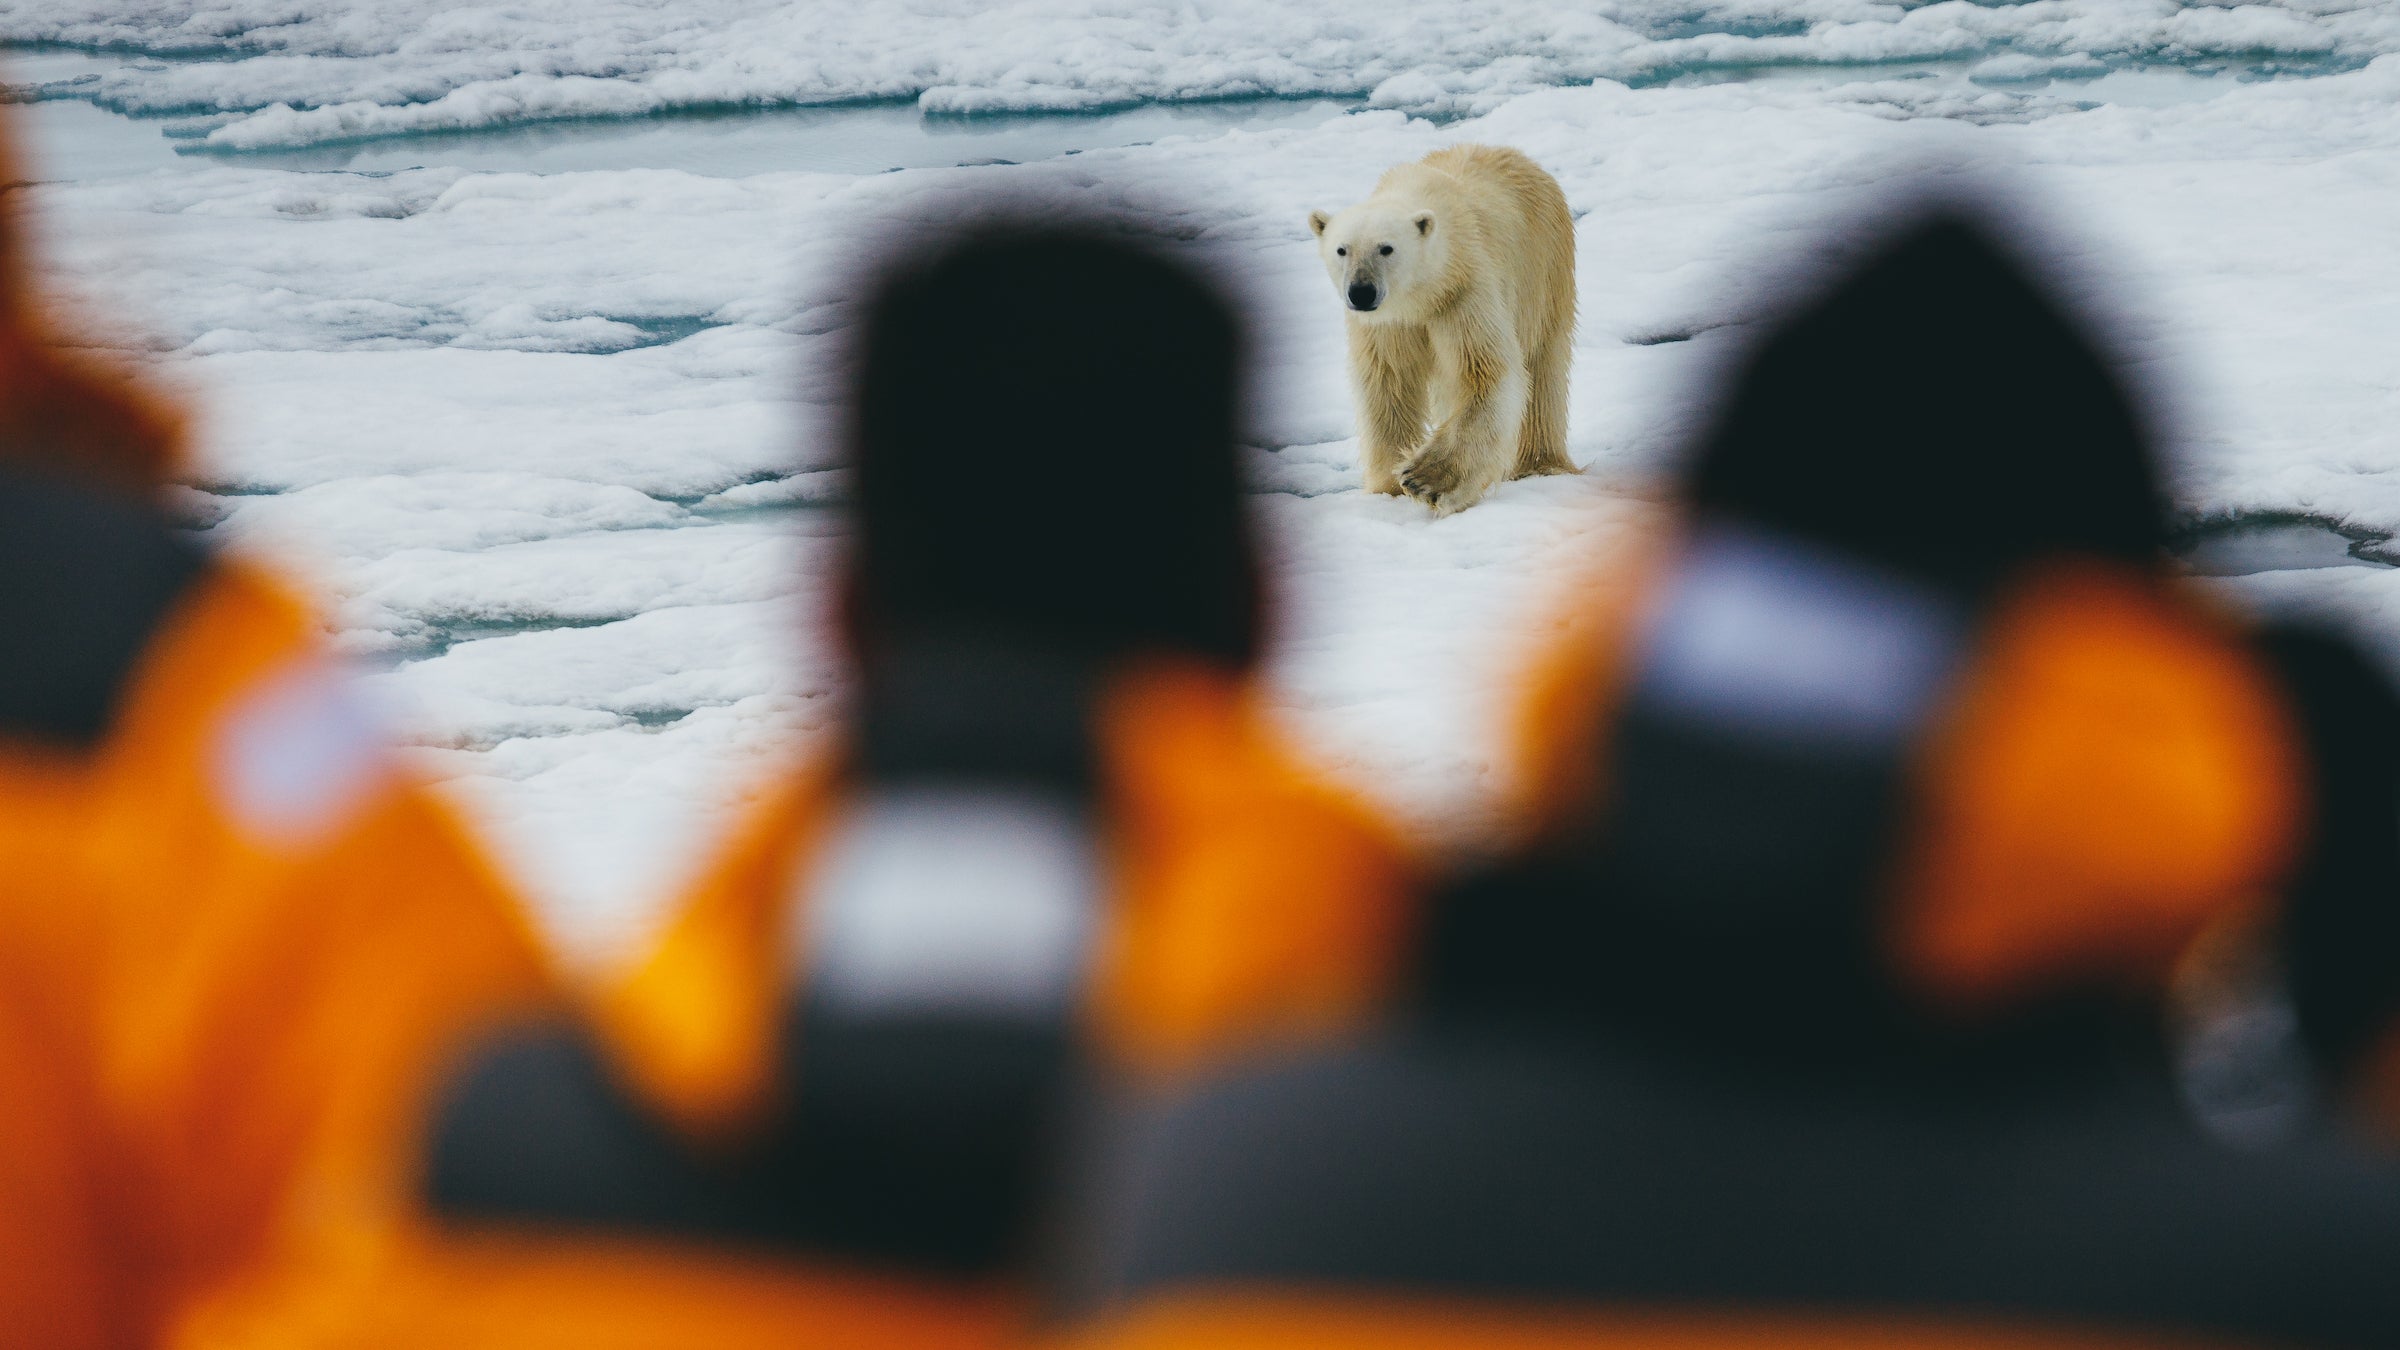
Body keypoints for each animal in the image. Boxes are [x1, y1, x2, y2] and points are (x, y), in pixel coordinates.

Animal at [1309, 144, 1577, 514]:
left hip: (1544, 269)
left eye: (1386, 248)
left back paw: (1541, 464)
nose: (1361, 292)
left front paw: (1425, 478)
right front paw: (1387, 488)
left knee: (1543, 364)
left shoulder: (1463, 293)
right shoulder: (1389, 324)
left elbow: (1486, 372)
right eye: (1341, 249)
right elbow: (1387, 382)